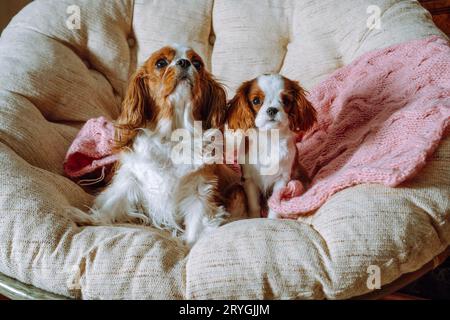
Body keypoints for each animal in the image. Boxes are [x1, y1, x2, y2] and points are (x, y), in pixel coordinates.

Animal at [92, 44, 246, 245]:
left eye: (197, 64)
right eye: (160, 63)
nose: (185, 62)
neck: (173, 135)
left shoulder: (199, 189)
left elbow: (196, 223)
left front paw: (188, 245)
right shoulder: (131, 178)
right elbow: (113, 201)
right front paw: (91, 219)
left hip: (238, 192)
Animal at [225, 74, 316, 219]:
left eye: (286, 101)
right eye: (256, 100)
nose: (272, 109)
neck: (269, 138)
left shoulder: (282, 179)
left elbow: (274, 203)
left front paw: (272, 219)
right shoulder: (249, 180)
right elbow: (254, 204)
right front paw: (255, 218)